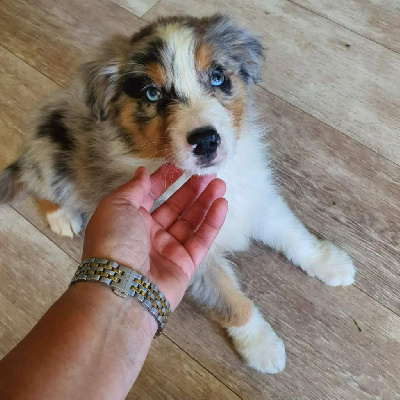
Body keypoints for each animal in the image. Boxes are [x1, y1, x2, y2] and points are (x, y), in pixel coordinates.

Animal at [0, 14, 355, 373]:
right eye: (152, 93)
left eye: (217, 77)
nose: (206, 141)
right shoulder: (197, 256)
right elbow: (231, 301)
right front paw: (262, 347)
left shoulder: (257, 197)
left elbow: (293, 235)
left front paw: (330, 264)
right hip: (52, 156)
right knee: (37, 180)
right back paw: (62, 216)